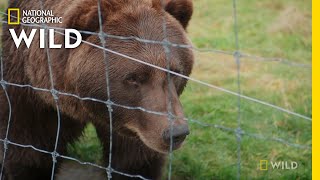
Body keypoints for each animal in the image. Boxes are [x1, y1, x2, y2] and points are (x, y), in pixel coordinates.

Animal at [0, 0, 192, 179]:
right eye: (133, 77)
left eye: (175, 71)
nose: (175, 133)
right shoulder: (28, 97)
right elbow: (29, 154)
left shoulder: (135, 121)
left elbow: (134, 161)